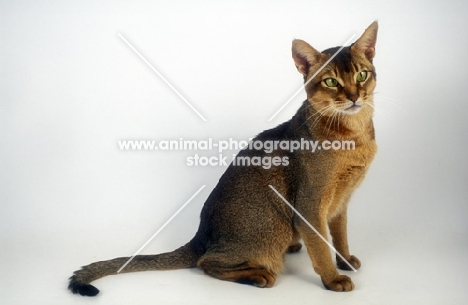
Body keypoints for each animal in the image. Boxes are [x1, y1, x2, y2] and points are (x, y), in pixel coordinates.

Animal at [68, 20, 376, 294]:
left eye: (362, 75)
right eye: (331, 81)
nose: (353, 96)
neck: (353, 136)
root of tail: (200, 237)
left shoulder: (342, 200)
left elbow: (340, 234)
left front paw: (346, 261)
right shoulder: (310, 205)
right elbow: (321, 246)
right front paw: (332, 279)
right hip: (270, 229)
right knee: (207, 263)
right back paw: (258, 275)